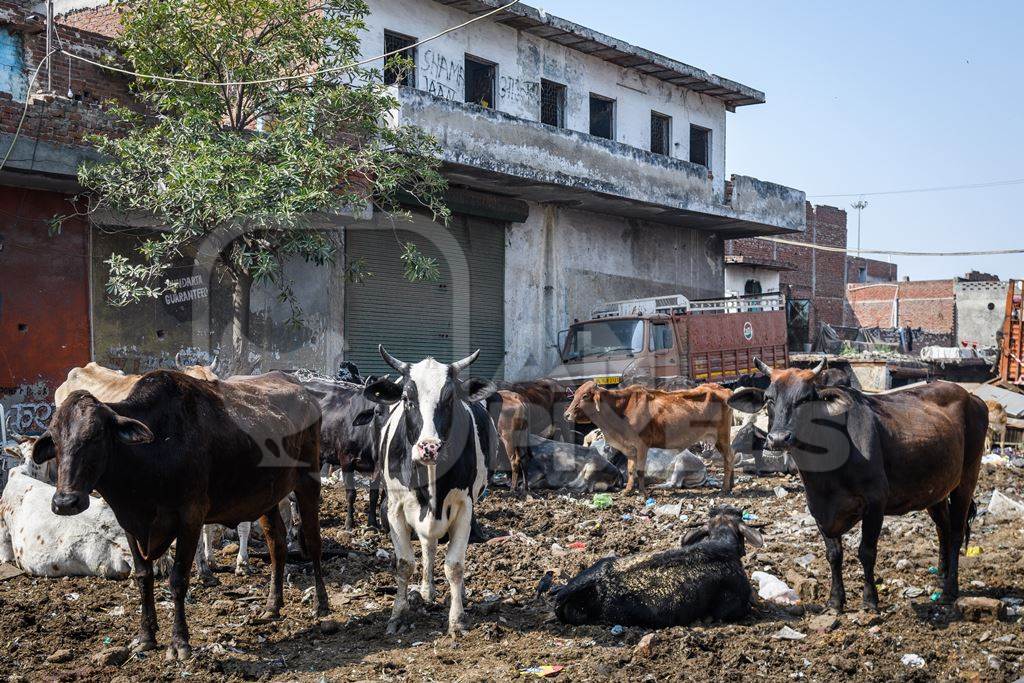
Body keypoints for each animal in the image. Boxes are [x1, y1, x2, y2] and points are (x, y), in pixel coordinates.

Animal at [30, 370, 327, 659]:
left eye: (95, 436)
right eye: (55, 439)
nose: (65, 501)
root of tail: (304, 392)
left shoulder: (191, 517)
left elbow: (178, 579)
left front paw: (180, 642)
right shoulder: (130, 524)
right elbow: (143, 576)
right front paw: (146, 637)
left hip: (308, 480)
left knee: (313, 542)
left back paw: (321, 605)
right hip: (266, 497)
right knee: (277, 545)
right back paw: (272, 606)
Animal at [561, 382, 737, 493]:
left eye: (585, 396)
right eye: (575, 394)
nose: (566, 414)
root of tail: (724, 390)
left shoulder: (642, 445)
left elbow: (640, 470)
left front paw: (642, 493)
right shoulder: (630, 447)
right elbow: (631, 469)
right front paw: (627, 491)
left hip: (721, 436)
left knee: (728, 458)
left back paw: (724, 489)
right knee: (730, 457)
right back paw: (731, 485)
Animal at [729, 360, 983, 610]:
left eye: (805, 398)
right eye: (769, 398)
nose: (779, 438)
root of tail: (972, 397)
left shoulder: (875, 502)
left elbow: (867, 552)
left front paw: (870, 600)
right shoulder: (819, 508)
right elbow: (834, 554)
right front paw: (835, 600)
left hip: (967, 479)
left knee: (957, 532)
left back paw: (950, 590)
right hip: (936, 490)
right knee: (943, 529)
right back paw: (941, 577)